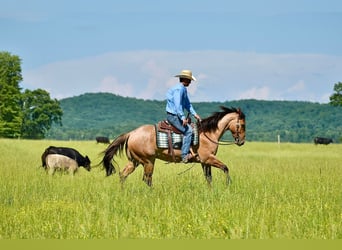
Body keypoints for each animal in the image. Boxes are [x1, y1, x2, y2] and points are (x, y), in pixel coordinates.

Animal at [101, 106, 246, 187]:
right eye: (243, 125)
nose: (242, 142)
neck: (207, 134)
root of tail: (131, 133)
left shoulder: (204, 162)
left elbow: (209, 178)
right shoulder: (208, 158)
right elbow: (225, 168)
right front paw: (228, 185)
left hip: (135, 161)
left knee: (123, 174)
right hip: (148, 161)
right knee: (147, 179)